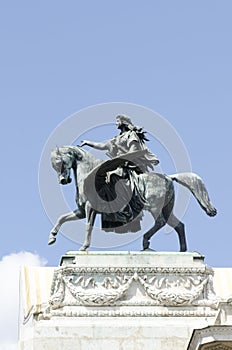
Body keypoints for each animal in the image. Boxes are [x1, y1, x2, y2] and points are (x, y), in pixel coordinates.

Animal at [48, 146, 217, 252]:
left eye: (61, 162)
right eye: (54, 166)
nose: (63, 180)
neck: (89, 174)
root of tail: (169, 177)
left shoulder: (91, 208)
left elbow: (88, 227)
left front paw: (83, 247)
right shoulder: (82, 210)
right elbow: (62, 218)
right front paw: (52, 236)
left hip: (155, 207)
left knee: (161, 222)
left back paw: (146, 241)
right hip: (167, 208)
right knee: (178, 225)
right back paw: (182, 252)